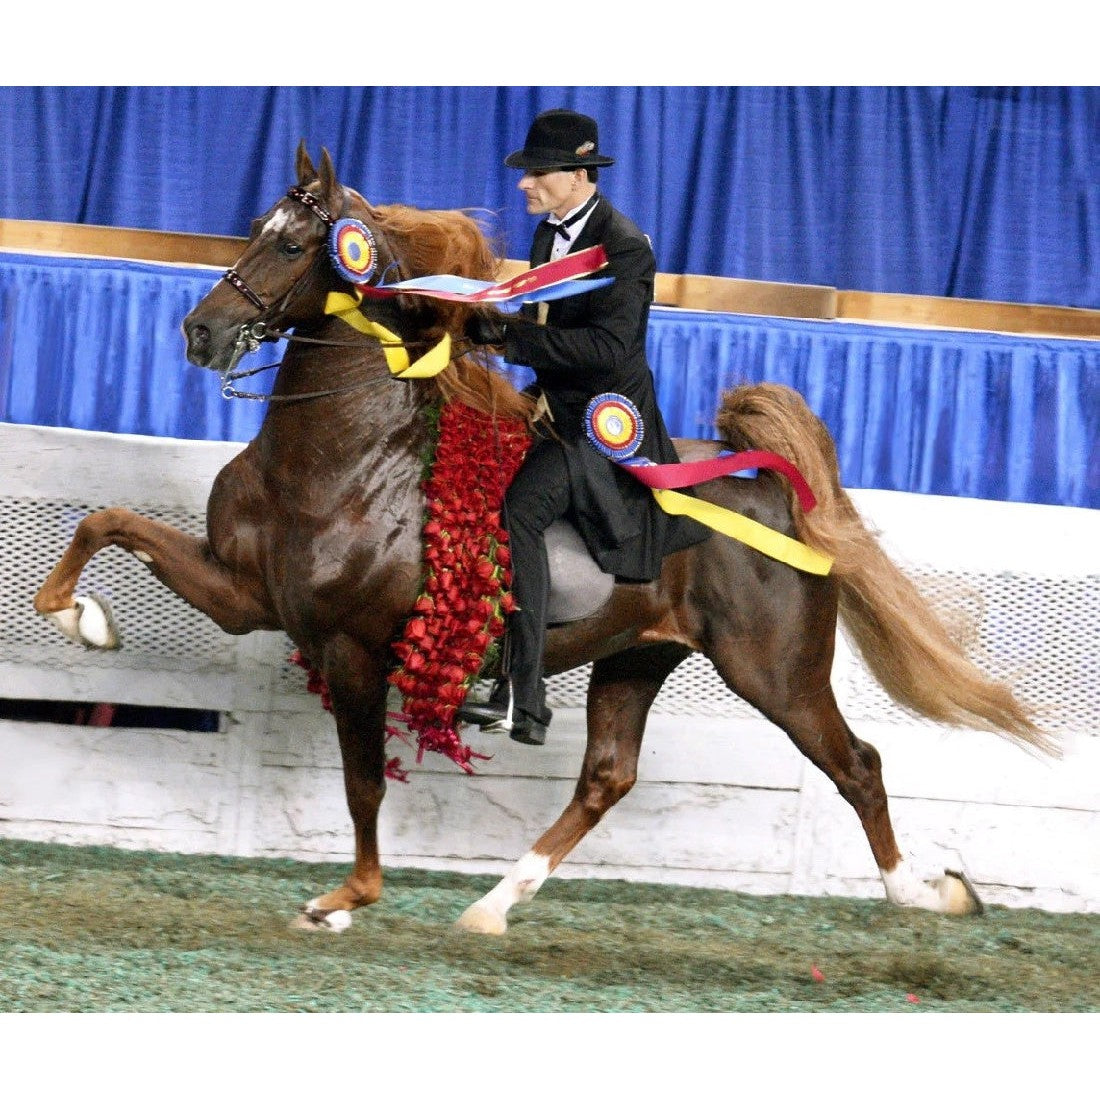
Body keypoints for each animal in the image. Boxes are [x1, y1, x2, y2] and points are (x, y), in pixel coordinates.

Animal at [30, 146, 1051, 932]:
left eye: (289, 242)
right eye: (252, 226)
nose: (200, 333)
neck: (345, 457)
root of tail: (773, 490)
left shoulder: (351, 647)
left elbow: (363, 785)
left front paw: (346, 899)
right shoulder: (248, 596)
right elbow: (106, 520)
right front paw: (78, 617)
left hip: (776, 671)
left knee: (857, 765)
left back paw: (923, 894)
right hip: (638, 655)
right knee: (606, 778)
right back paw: (493, 905)